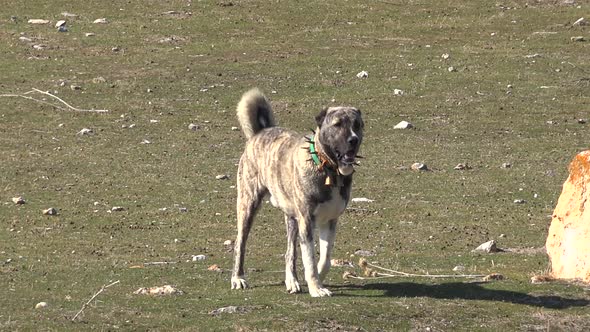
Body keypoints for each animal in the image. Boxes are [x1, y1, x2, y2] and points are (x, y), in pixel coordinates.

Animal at [232, 88, 366, 298]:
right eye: (337, 125)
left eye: (357, 125)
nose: (353, 139)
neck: (327, 169)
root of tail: (259, 132)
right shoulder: (307, 221)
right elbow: (309, 258)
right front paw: (316, 288)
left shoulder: (330, 221)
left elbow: (325, 258)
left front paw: (317, 278)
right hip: (248, 205)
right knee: (240, 243)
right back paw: (238, 278)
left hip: (292, 218)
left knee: (290, 252)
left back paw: (292, 281)